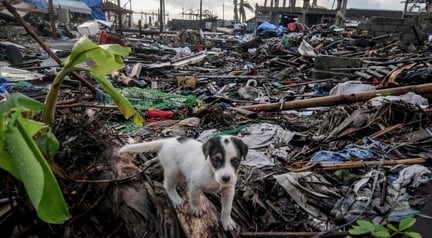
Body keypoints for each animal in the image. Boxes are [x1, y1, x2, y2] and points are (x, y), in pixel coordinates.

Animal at [118, 136, 248, 231]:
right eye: (216, 159)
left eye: (235, 160)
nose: (226, 178)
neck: (212, 172)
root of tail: (168, 141)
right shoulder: (195, 185)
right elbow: (195, 198)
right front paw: (197, 209)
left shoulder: (229, 190)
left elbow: (227, 208)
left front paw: (227, 222)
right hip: (173, 171)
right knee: (168, 186)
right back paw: (175, 199)